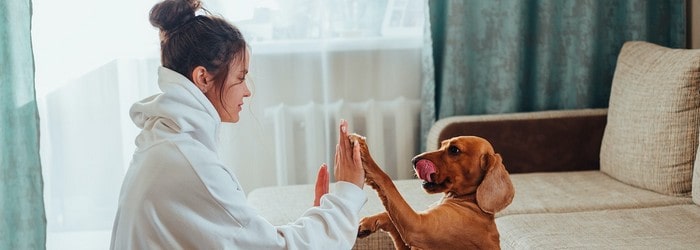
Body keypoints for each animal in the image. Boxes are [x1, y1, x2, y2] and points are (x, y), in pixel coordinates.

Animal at [356, 136, 516, 249]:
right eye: (441, 145)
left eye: (454, 150)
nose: (414, 160)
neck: (468, 200)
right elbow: (389, 216)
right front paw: (368, 223)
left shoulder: (417, 227)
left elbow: (385, 180)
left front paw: (364, 152)